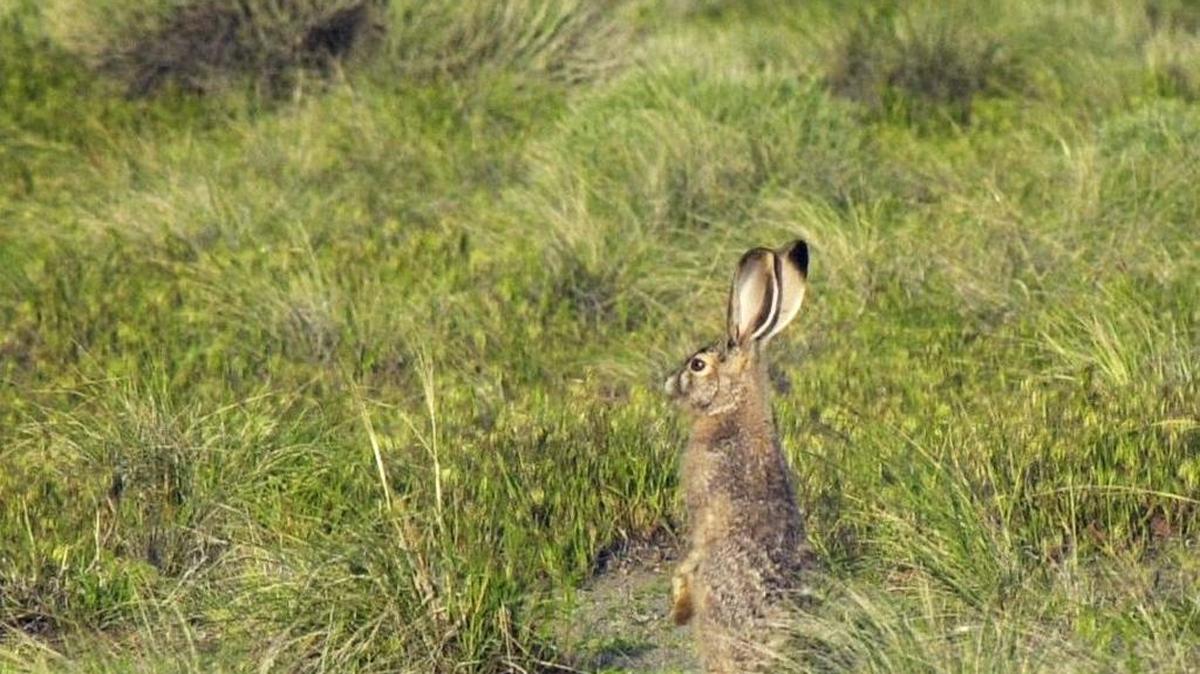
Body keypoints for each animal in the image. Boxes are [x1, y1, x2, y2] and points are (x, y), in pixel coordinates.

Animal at [663, 239, 813, 673]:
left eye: (697, 365)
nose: (668, 384)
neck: (731, 407)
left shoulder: (703, 510)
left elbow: (690, 556)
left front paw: (678, 604)